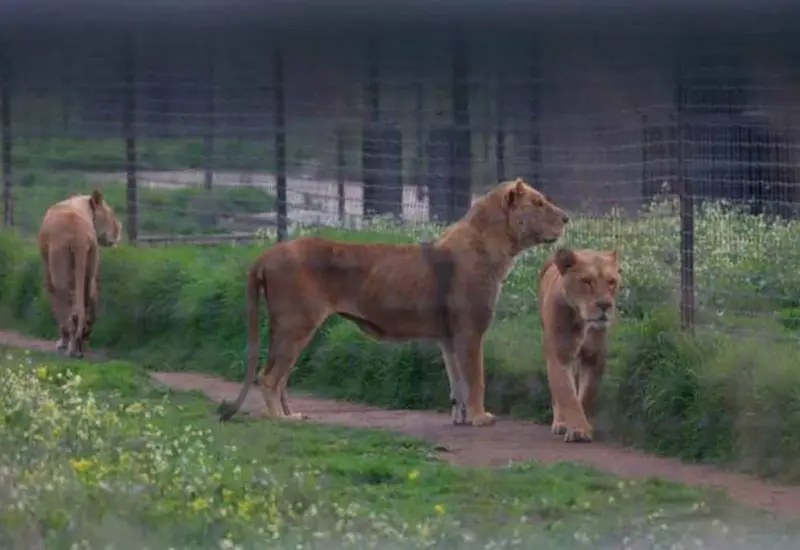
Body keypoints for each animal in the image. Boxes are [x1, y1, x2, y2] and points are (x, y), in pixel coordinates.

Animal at [37, 189, 123, 358]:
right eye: (111, 214)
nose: (120, 228)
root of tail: (79, 236)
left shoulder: (49, 275)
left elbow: (57, 307)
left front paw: (61, 343)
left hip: (60, 273)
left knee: (70, 309)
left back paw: (71, 349)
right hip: (90, 268)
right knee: (88, 306)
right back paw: (81, 347)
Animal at [218, 177, 570, 426]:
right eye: (539, 203)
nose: (567, 218)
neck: (494, 246)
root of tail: (266, 254)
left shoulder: (448, 337)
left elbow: (457, 382)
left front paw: (461, 418)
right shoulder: (470, 332)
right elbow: (475, 379)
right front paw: (481, 418)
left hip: (289, 328)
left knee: (278, 377)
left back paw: (292, 416)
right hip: (296, 324)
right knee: (269, 377)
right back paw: (280, 420)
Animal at [538, 247, 621, 443]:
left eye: (612, 282)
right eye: (586, 281)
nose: (605, 305)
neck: (582, 321)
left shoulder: (594, 358)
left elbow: (585, 394)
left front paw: (583, 427)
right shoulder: (560, 355)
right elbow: (567, 393)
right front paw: (577, 430)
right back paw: (560, 423)